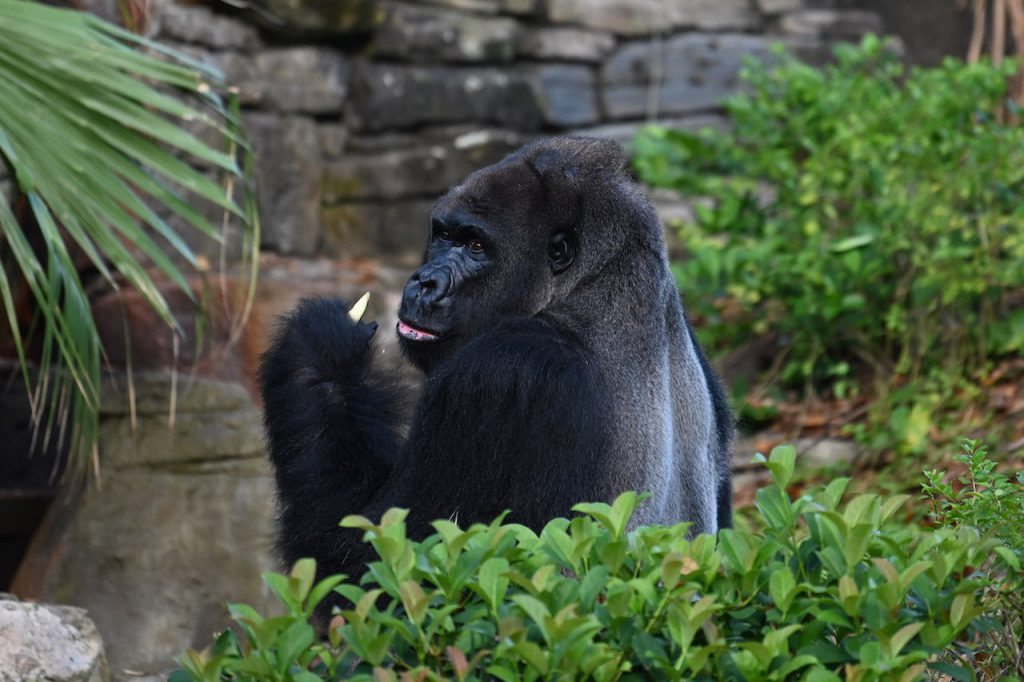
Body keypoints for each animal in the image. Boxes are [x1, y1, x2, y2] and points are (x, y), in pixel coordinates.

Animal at [260, 134, 733, 589]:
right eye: (443, 235)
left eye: (475, 245)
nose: (424, 283)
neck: (596, 281)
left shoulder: (499, 373)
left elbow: (368, 564)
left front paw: (319, 352)